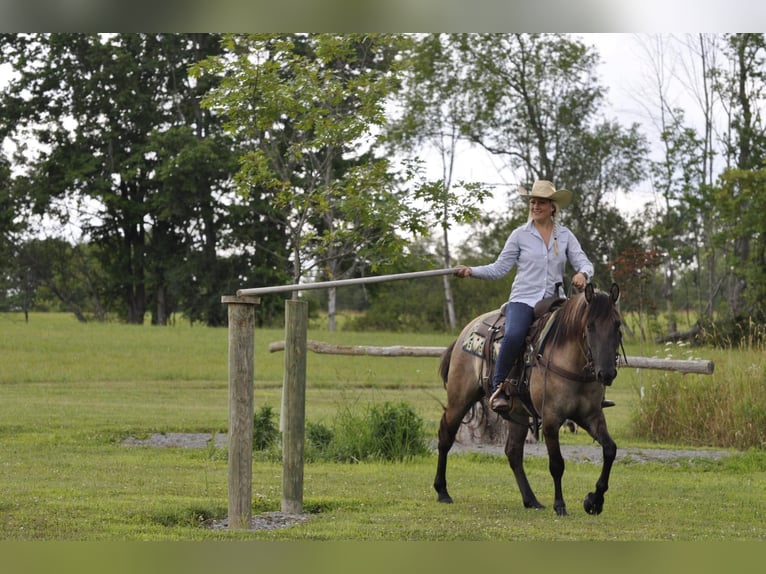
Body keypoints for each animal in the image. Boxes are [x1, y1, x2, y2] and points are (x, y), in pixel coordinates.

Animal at [432, 284, 624, 516]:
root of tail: (466, 330)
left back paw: (531, 499)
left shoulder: (591, 416)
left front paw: (594, 501)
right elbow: (556, 464)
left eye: (617, 324)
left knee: (513, 452)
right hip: (460, 399)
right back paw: (442, 491)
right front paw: (560, 505)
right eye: (590, 326)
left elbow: (610, 450)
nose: (606, 373)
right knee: (445, 437)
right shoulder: (551, 419)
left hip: (518, 414)